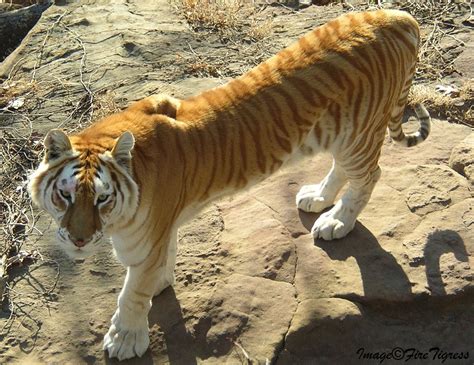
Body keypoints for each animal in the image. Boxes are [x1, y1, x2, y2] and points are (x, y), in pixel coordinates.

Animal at [28, 7, 430, 358]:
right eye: (64, 195)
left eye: (102, 199)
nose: (79, 241)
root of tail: (398, 16)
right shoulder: (161, 225)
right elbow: (164, 255)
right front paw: (160, 282)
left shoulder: (143, 241)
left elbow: (132, 293)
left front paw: (124, 339)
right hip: (339, 135)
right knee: (342, 169)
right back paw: (317, 197)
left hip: (359, 133)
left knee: (370, 175)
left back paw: (336, 222)